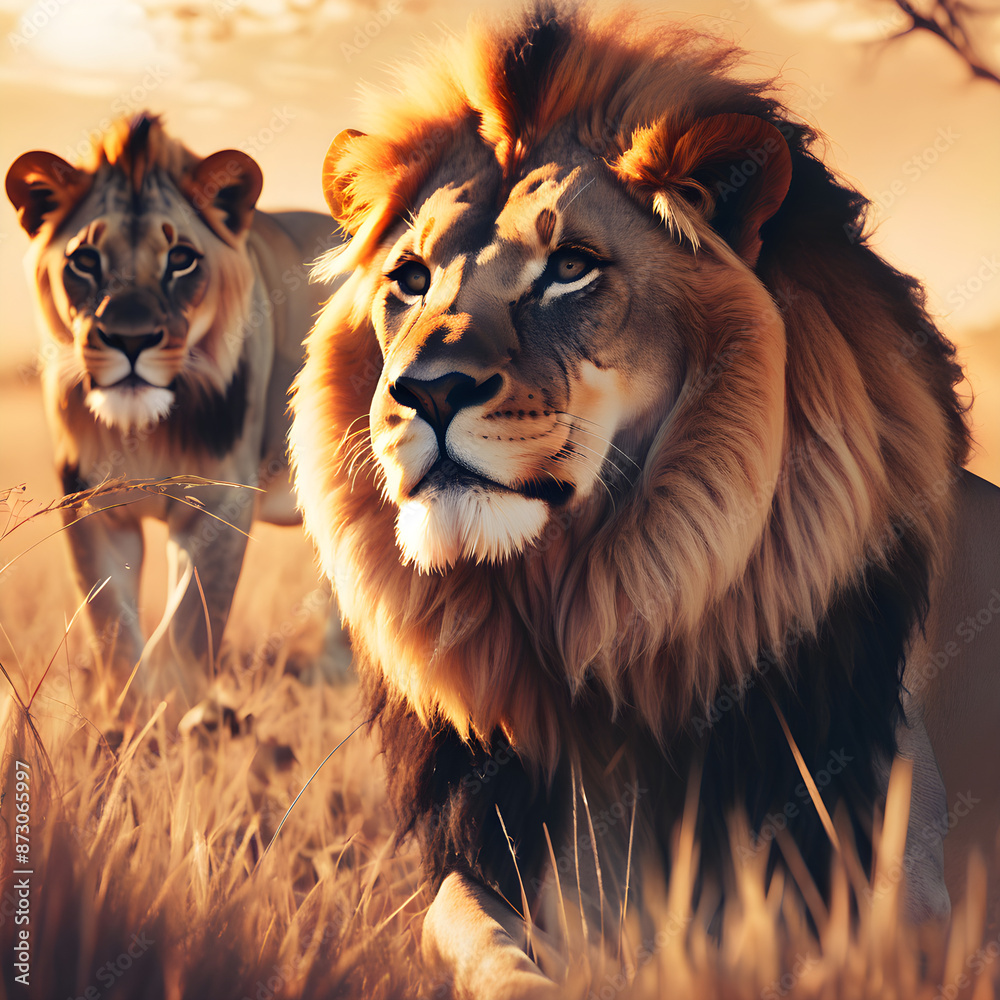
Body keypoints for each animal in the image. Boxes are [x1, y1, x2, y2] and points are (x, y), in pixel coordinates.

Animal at [6, 114, 344, 712]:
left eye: (181, 259)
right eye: (85, 261)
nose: (131, 339)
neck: (142, 430)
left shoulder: (219, 503)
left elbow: (184, 635)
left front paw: (173, 717)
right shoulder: (90, 508)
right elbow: (114, 631)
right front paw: (124, 722)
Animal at [289, 7, 1000, 995]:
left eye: (570, 268)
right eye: (411, 279)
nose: (425, 390)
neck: (591, 635)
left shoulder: (898, 888)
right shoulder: (507, 855)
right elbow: (466, 929)